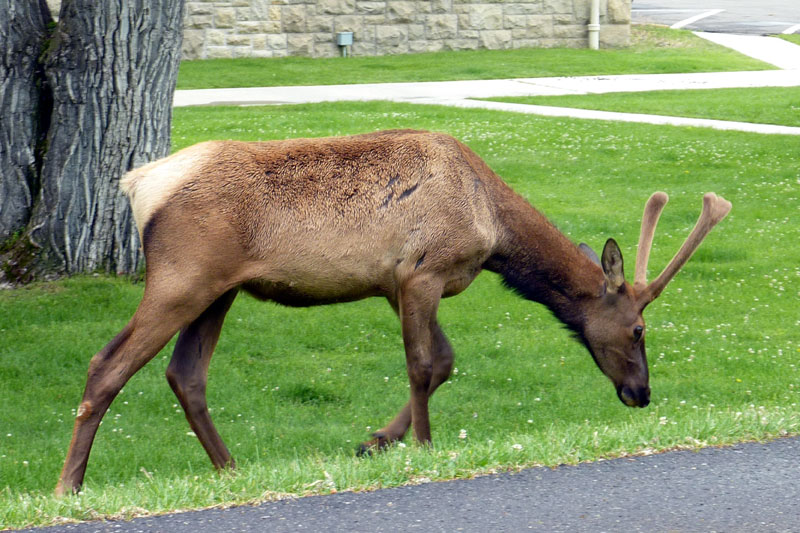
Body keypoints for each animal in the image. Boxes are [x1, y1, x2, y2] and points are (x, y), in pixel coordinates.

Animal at [54, 129, 732, 494]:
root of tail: (138, 184)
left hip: (218, 290)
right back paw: (69, 484)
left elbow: (445, 362)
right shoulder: (420, 274)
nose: (642, 394)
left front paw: (377, 440)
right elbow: (423, 365)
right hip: (183, 278)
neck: (493, 230)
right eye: (638, 328)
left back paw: (230, 470)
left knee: (185, 374)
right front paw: (423, 448)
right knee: (107, 363)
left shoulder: (403, 286)